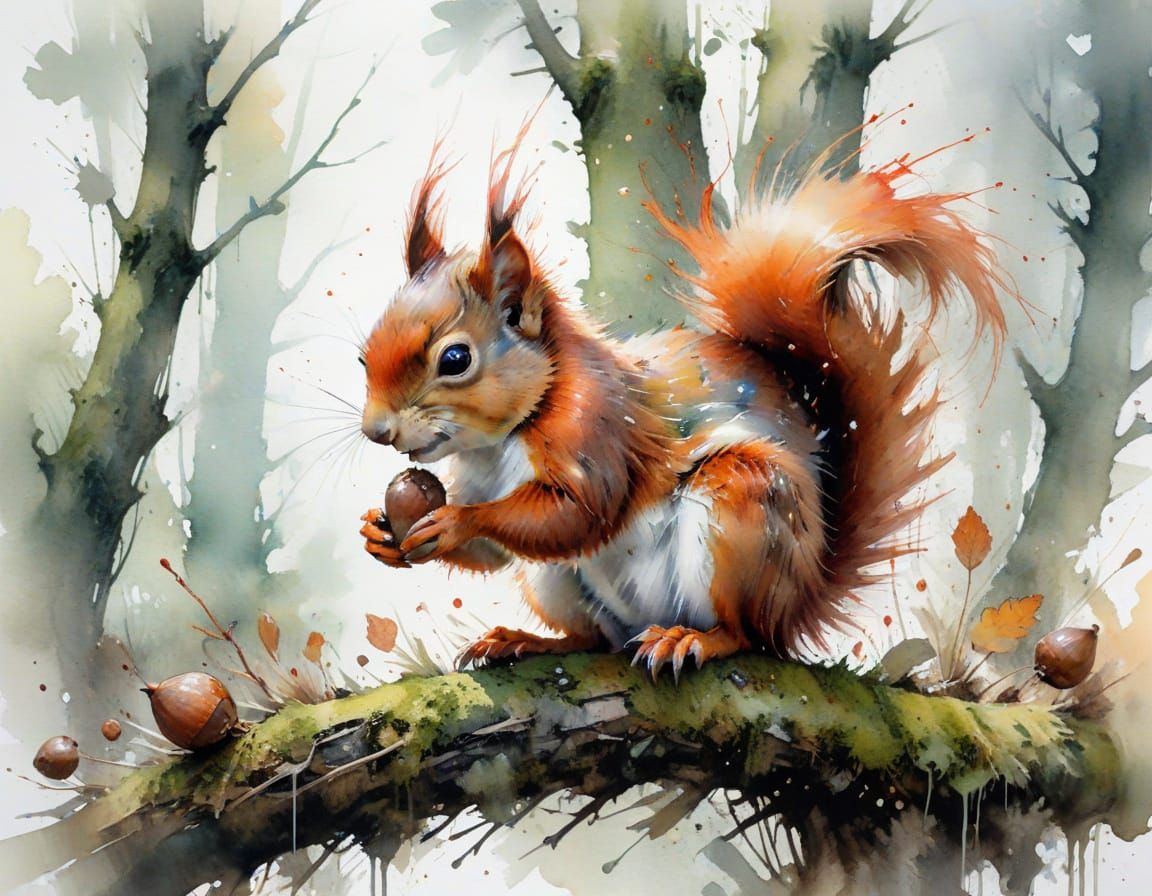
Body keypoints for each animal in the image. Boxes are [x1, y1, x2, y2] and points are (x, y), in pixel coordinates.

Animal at [357, 137, 1008, 679]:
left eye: (456, 358)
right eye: (365, 354)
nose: (376, 432)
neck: (511, 431)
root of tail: (798, 604)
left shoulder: (598, 429)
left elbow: (578, 513)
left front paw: (456, 521)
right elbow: (497, 554)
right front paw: (381, 533)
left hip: (744, 512)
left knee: (747, 635)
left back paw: (695, 640)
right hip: (556, 584)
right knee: (594, 639)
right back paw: (528, 641)